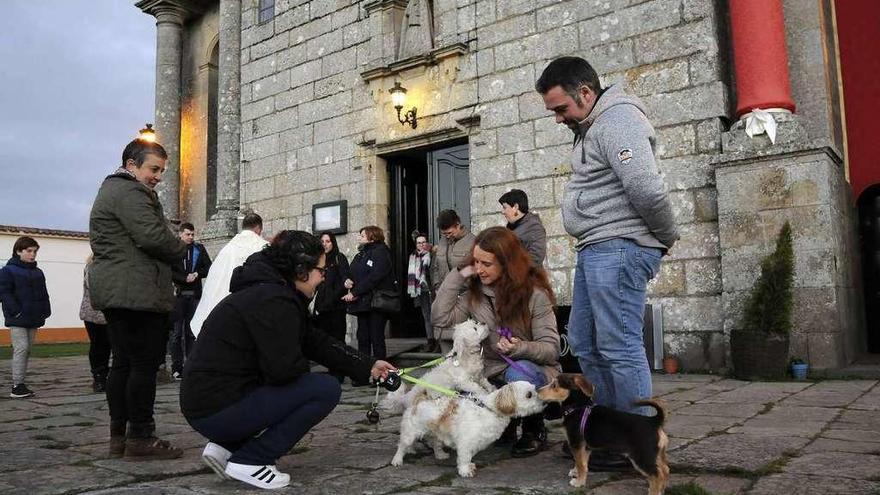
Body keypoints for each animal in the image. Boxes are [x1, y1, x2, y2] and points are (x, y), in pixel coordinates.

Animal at [390, 382, 544, 478]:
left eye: (535, 389)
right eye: (529, 395)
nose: (544, 401)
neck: (490, 409)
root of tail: (418, 400)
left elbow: (468, 456)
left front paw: (469, 466)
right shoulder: (466, 442)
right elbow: (464, 457)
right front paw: (465, 471)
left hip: (436, 433)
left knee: (435, 444)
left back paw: (440, 455)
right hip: (410, 433)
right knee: (402, 446)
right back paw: (397, 460)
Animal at [536, 374, 668, 494]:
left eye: (554, 385)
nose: (537, 390)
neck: (578, 406)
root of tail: (654, 421)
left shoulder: (576, 443)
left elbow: (580, 463)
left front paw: (579, 481)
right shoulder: (585, 447)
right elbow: (583, 463)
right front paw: (576, 472)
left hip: (642, 456)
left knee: (657, 475)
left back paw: (653, 492)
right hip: (656, 454)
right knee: (665, 469)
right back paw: (661, 490)